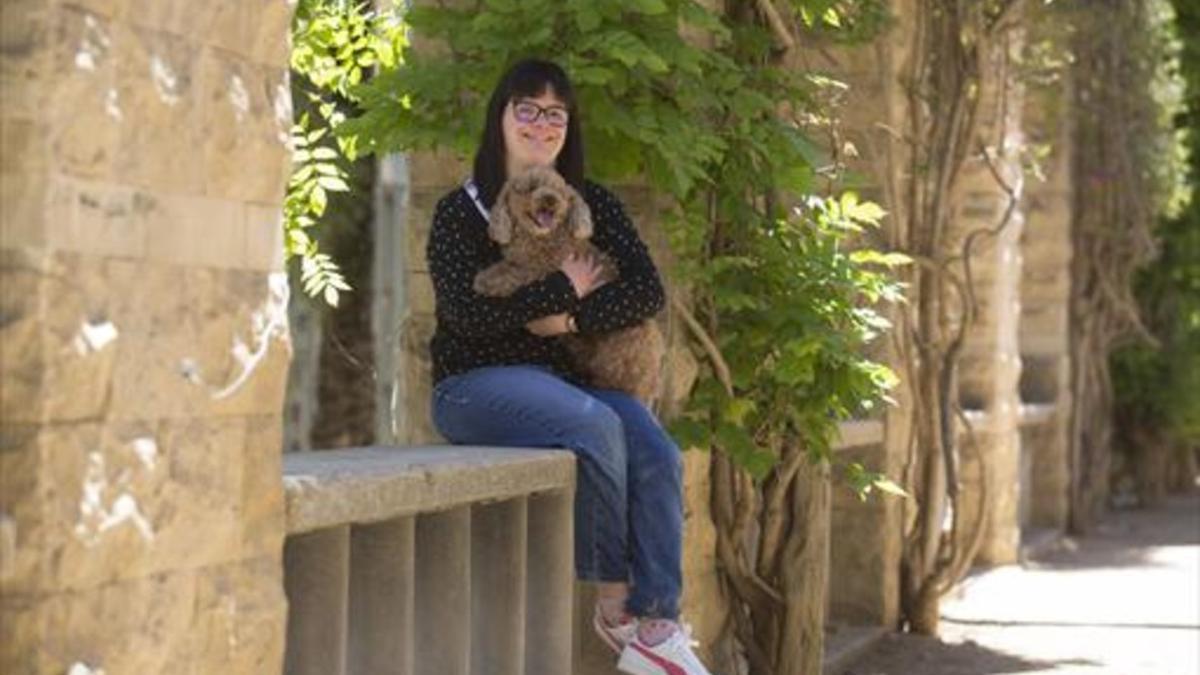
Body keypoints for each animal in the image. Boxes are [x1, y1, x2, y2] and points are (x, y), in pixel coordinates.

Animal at [472, 165, 667, 401]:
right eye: (531, 187)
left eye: (559, 192)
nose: (550, 199)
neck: (538, 237)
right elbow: (510, 266)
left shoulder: (543, 269)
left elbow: (515, 274)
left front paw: (487, 279)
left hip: (622, 351)